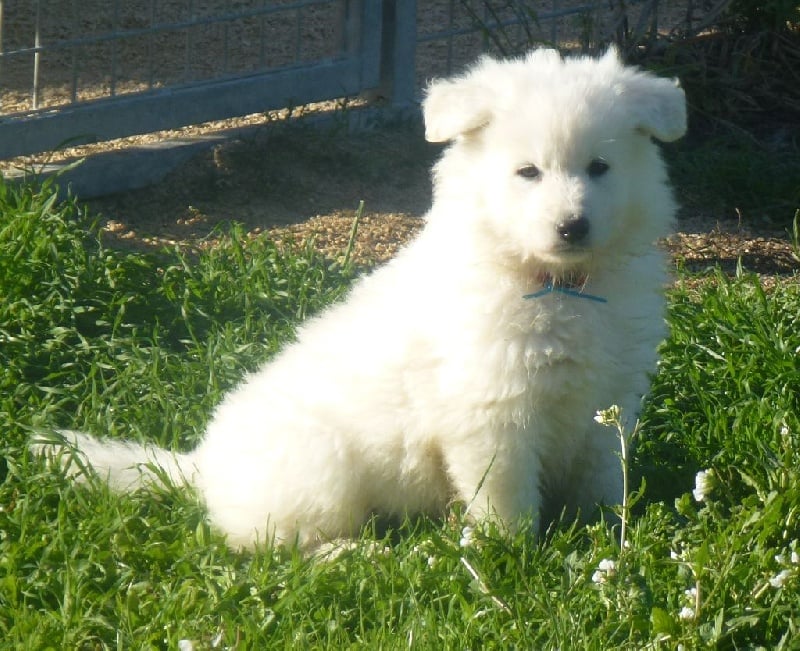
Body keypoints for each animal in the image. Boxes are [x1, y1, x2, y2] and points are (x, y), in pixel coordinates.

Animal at [40, 48, 684, 552]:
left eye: (600, 167)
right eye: (528, 172)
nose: (573, 226)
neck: (560, 285)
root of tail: (200, 468)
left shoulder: (610, 398)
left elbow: (604, 476)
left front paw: (611, 533)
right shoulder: (492, 411)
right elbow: (504, 497)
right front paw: (513, 557)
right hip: (321, 468)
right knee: (285, 545)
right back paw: (358, 555)